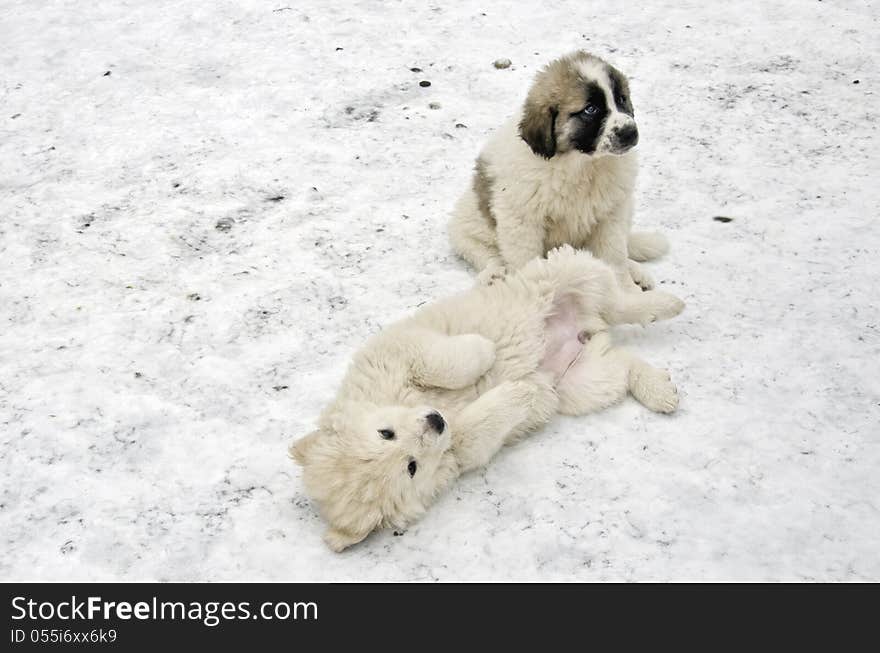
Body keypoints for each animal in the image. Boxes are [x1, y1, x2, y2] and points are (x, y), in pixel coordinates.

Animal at [292, 247, 684, 552]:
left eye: (384, 433)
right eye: (411, 467)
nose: (435, 421)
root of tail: (585, 328)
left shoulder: (401, 349)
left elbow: (446, 362)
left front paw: (486, 350)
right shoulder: (462, 449)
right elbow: (477, 426)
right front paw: (519, 392)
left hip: (564, 275)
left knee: (616, 301)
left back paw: (667, 304)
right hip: (580, 383)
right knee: (624, 361)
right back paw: (659, 390)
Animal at [450, 51, 672, 292]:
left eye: (621, 99)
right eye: (591, 109)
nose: (630, 132)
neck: (582, 164)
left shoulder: (611, 215)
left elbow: (614, 256)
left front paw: (625, 290)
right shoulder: (522, 220)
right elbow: (526, 260)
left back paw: (636, 272)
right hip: (467, 223)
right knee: (482, 251)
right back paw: (494, 274)